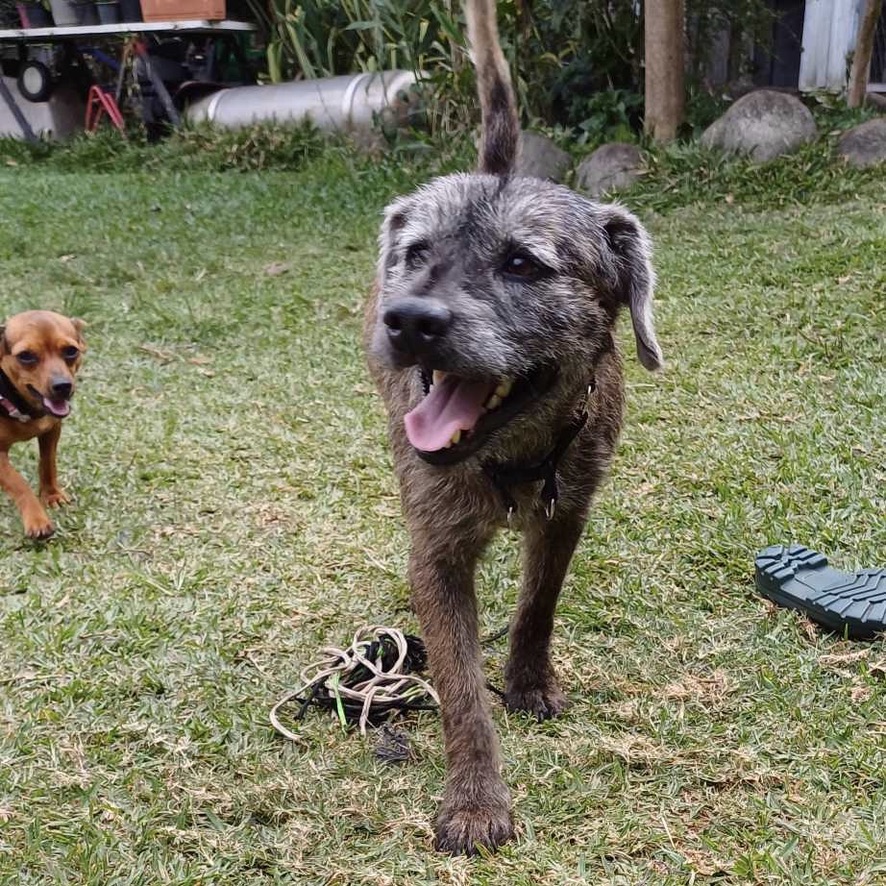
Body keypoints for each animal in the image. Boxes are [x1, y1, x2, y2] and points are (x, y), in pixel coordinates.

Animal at [0, 308, 86, 536]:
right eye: (25, 356)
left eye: (71, 351)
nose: (63, 386)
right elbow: (19, 484)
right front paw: (37, 519)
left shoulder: (52, 430)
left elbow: (48, 463)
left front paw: (51, 495)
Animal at [360, 0, 660, 860]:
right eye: (416, 253)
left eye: (524, 264)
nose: (408, 322)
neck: (512, 456)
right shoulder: (435, 553)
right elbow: (459, 687)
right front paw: (474, 800)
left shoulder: (568, 513)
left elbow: (538, 604)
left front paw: (527, 681)